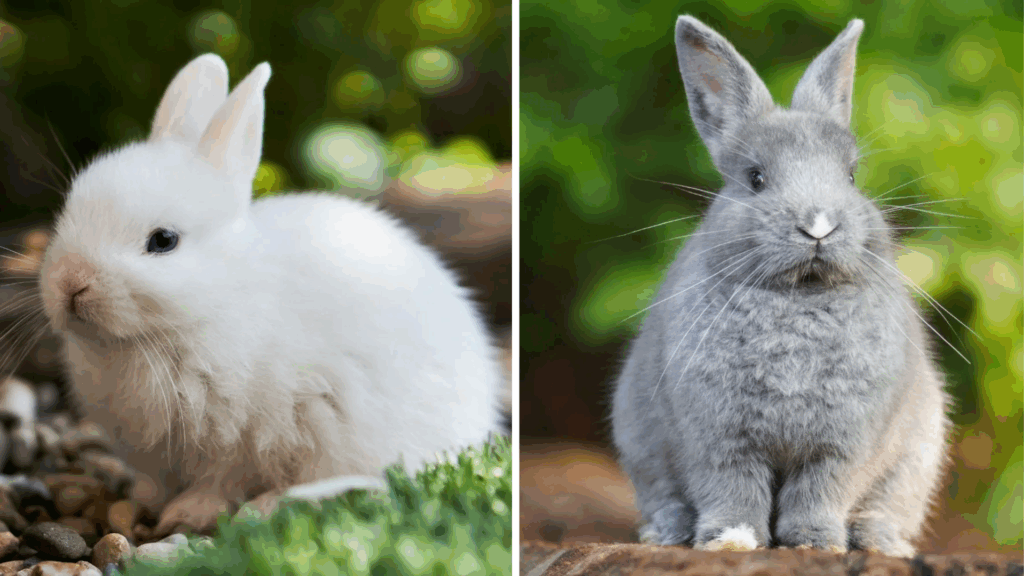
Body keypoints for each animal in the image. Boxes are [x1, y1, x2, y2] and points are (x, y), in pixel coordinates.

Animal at [36, 54, 502, 535]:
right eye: (69, 210)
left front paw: (187, 514)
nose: (70, 283)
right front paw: (141, 502)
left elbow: (220, 482)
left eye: (163, 241)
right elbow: (155, 482)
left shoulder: (244, 437)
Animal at [610, 17, 950, 558]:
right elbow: (731, 489)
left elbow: (820, 490)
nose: (818, 225)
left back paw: (881, 543)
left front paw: (815, 544)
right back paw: (666, 533)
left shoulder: (843, 445)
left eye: (851, 175)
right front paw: (731, 541)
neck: (799, 296)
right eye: (756, 178)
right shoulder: (719, 439)